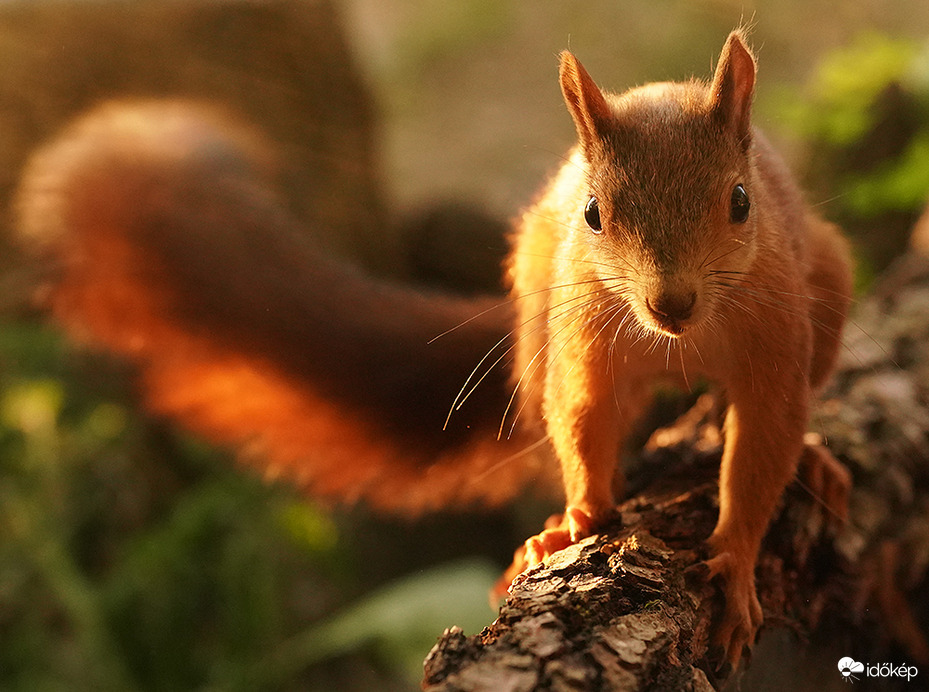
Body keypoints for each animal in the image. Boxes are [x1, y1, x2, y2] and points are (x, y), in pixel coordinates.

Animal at [14, 32, 852, 664]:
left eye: (739, 202)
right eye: (592, 213)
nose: (668, 304)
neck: (679, 339)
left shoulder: (776, 341)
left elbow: (761, 444)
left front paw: (734, 560)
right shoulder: (581, 343)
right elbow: (581, 421)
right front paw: (578, 517)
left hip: (829, 278)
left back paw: (811, 454)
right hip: (535, 318)